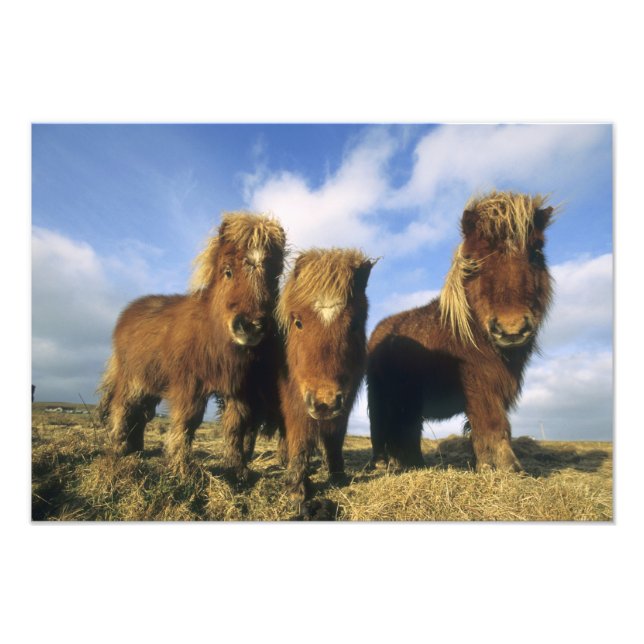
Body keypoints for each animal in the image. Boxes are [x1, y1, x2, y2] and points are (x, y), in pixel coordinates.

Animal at [97, 212, 286, 479]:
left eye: (273, 277)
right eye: (228, 271)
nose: (251, 325)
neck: (212, 333)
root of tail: (127, 313)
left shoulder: (238, 389)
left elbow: (235, 426)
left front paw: (237, 470)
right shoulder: (189, 384)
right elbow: (187, 421)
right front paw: (180, 467)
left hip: (151, 383)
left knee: (142, 414)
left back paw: (136, 450)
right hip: (133, 379)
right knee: (122, 408)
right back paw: (119, 450)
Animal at [275, 248, 376, 503]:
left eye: (355, 324)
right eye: (298, 322)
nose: (324, 403)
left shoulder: (344, 404)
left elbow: (335, 439)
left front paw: (338, 475)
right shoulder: (295, 401)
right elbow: (299, 438)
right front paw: (297, 488)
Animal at [367, 191, 554, 472]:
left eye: (536, 251)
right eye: (474, 261)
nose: (511, 329)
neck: (472, 330)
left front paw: (488, 464)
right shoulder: (479, 383)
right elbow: (492, 423)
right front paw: (507, 468)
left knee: (407, 430)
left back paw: (414, 464)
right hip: (381, 397)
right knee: (382, 428)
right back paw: (384, 464)